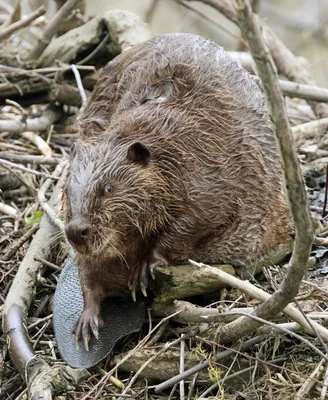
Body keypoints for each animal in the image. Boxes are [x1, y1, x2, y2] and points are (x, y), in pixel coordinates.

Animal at [61, 32, 292, 348]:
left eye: (108, 188)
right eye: (68, 190)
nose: (76, 231)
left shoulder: (211, 174)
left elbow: (194, 222)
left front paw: (144, 270)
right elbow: (91, 269)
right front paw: (86, 321)